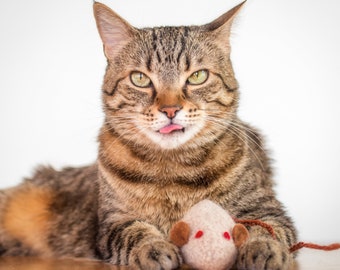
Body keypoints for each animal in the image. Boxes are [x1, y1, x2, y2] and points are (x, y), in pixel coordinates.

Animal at [0, 2, 296, 270]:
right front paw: (154, 248)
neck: (174, 172)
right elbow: (136, 232)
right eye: (140, 79)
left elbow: (266, 229)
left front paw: (263, 249)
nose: (170, 109)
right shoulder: (114, 222)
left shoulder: (267, 209)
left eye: (197, 76)